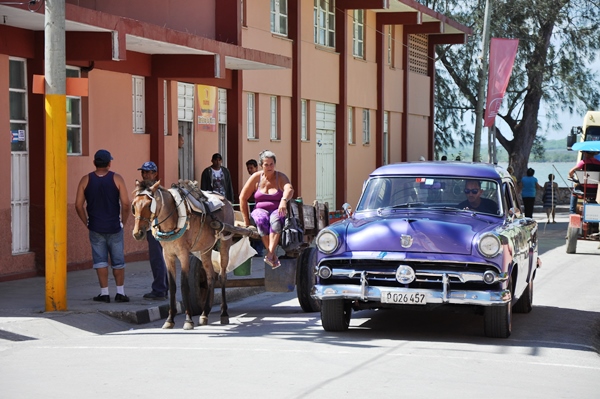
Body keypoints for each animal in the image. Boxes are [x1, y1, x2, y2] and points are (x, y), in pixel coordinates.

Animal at [131, 181, 234, 332]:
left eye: (149, 205)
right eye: (134, 205)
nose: (137, 233)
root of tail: (226, 200)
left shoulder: (184, 254)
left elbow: (184, 285)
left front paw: (188, 320)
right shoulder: (168, 255)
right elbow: (173, 286)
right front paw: (170, 319)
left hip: (225, 244)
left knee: (222, 276)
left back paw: (224, 313)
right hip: (205, 249)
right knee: (210, 276)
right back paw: (205, 313)